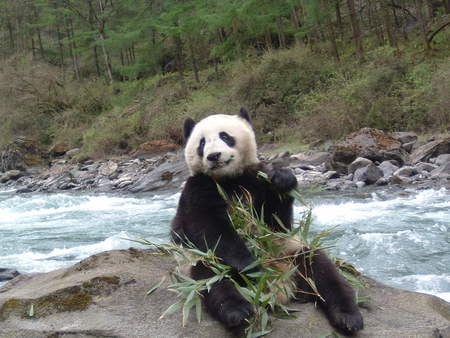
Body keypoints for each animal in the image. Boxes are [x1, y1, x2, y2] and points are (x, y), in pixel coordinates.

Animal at [171, 109, 364, 334]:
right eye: (201, 143)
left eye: (225, 136)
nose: (213, 156)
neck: (229, 179)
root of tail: (281, 287)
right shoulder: (198, 188)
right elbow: (208, 227)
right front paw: (250, 265)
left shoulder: (257, 181)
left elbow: (276, 224)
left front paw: (283, 179)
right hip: (197, 261)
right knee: (213, 278)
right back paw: (238, 312)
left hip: (290, 253)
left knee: (321, 270)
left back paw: (348, 317)